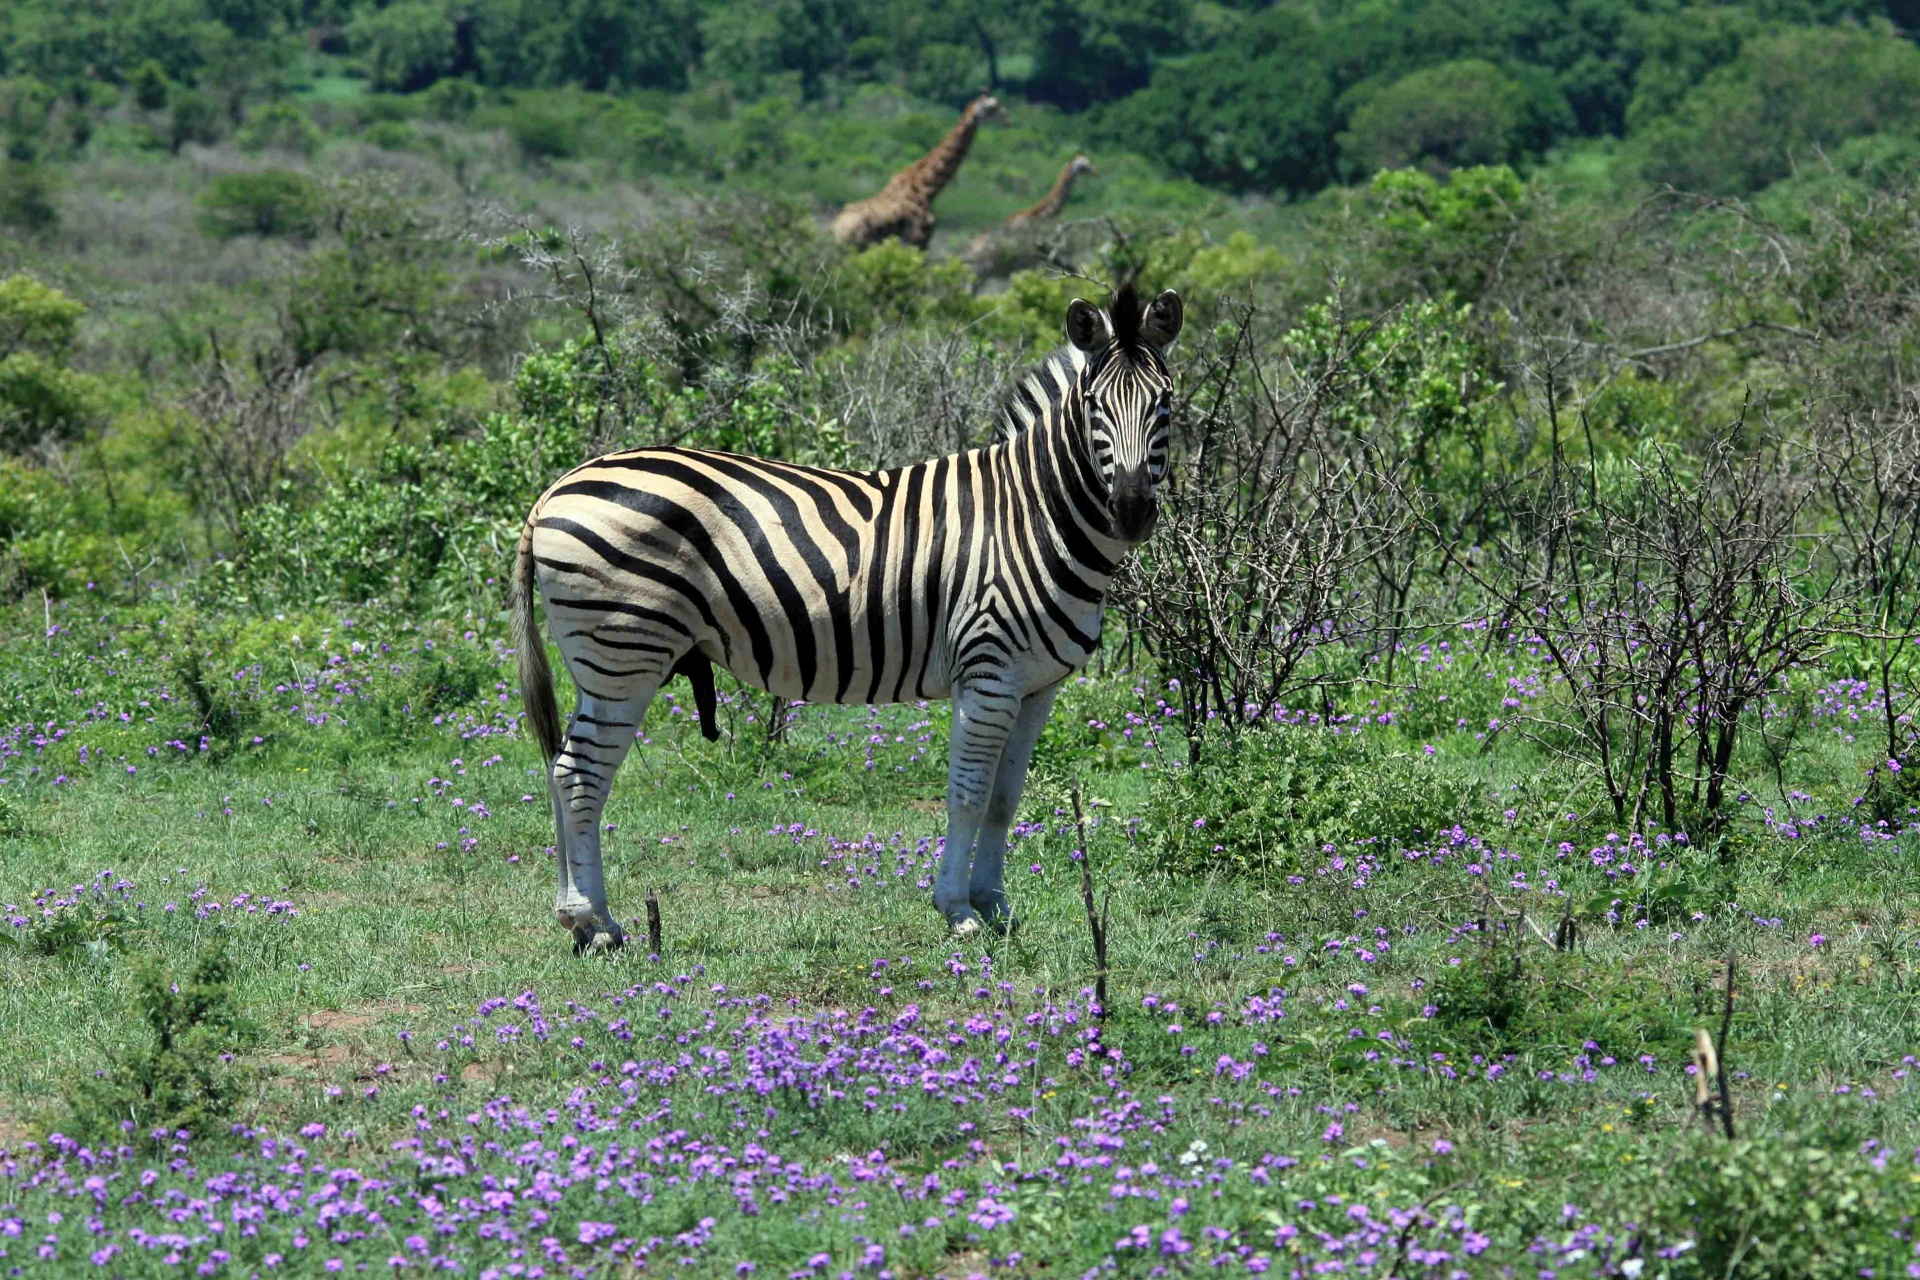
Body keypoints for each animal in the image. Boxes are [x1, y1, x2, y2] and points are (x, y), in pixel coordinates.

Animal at [510, 287, 1175, 951]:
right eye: (1093, 406)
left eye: (1166, 401)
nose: (1132, 511)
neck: (1032, 516)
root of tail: (557, 487)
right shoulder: (987, 670)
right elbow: (968, 794)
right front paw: (958, 910)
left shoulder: (1037, 685)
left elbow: (1005, 799)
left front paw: (995, 906)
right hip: (624, 651)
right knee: (580, 774)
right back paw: (594, 922)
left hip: (598, 661)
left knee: (560, 767)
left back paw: (575, 917)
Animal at [837, 93, 1013, 253]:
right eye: (993, 107)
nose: (1009, 120)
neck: (928, 188)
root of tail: (836, 228)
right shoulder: (919, 237)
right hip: (857, 246)